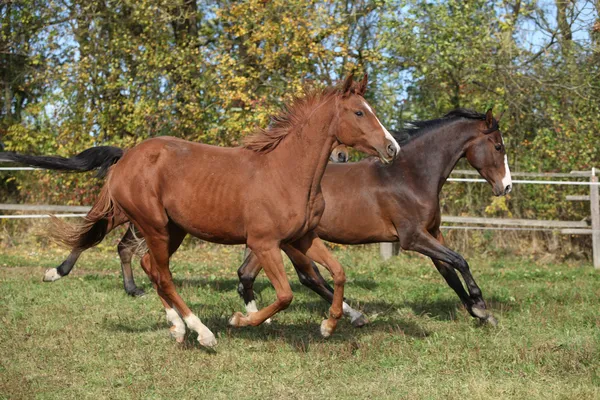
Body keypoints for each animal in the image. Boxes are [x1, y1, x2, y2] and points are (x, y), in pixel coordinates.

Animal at [0, 142, 350, 296]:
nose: (343, 156)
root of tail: (126, 155)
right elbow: (305, 270)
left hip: (143, 222)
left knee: (118, 246)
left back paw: (132, 289)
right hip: (124, 215)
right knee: (90, 233)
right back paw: (57, 272)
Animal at [43, 75, 398, 346]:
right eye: (359, 112)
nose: (391, 147)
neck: (287, 172)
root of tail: (126, 158)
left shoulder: (302, 238)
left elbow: (337, 273)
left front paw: (330, 324)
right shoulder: (264, 244)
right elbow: (285, 295)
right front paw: (241, 320)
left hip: (173, 229)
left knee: (150, 267)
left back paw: (176, 327)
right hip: (154, 225)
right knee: (163, 276)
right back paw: (202, 333)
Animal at [237, 108, 512, 326]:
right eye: (498, 146)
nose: (506, 186)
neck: (408, 176)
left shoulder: (433, 233)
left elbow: (449, 272)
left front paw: (480, 313)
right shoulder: (412, 238)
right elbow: (460, 261)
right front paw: (480, 306)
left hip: (272, 241)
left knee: (246, 274)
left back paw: (259, 318)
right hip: (287, 241)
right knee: (307, 276)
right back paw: (353, 316)